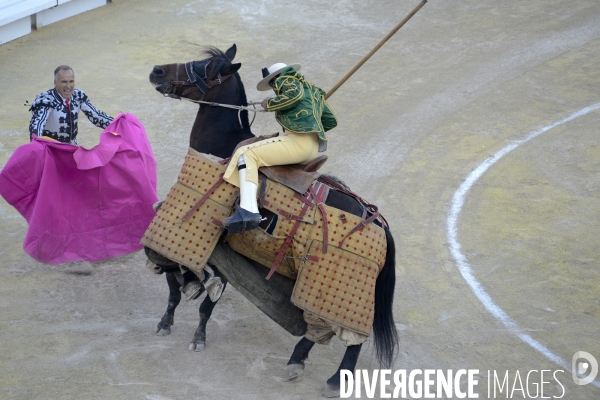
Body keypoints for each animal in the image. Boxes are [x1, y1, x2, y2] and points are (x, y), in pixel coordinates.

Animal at [146, 44, 398, 396]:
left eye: (206, 67)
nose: (157, 71)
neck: (223, 147)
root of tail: (377, 221)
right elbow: (173, 285)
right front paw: (166, 320)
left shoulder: (217, 248)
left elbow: (204, 301)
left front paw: (198, 337)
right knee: (316, 330)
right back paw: (296, 362)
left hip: (344, 292)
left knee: (352, 338)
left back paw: (335, 380)